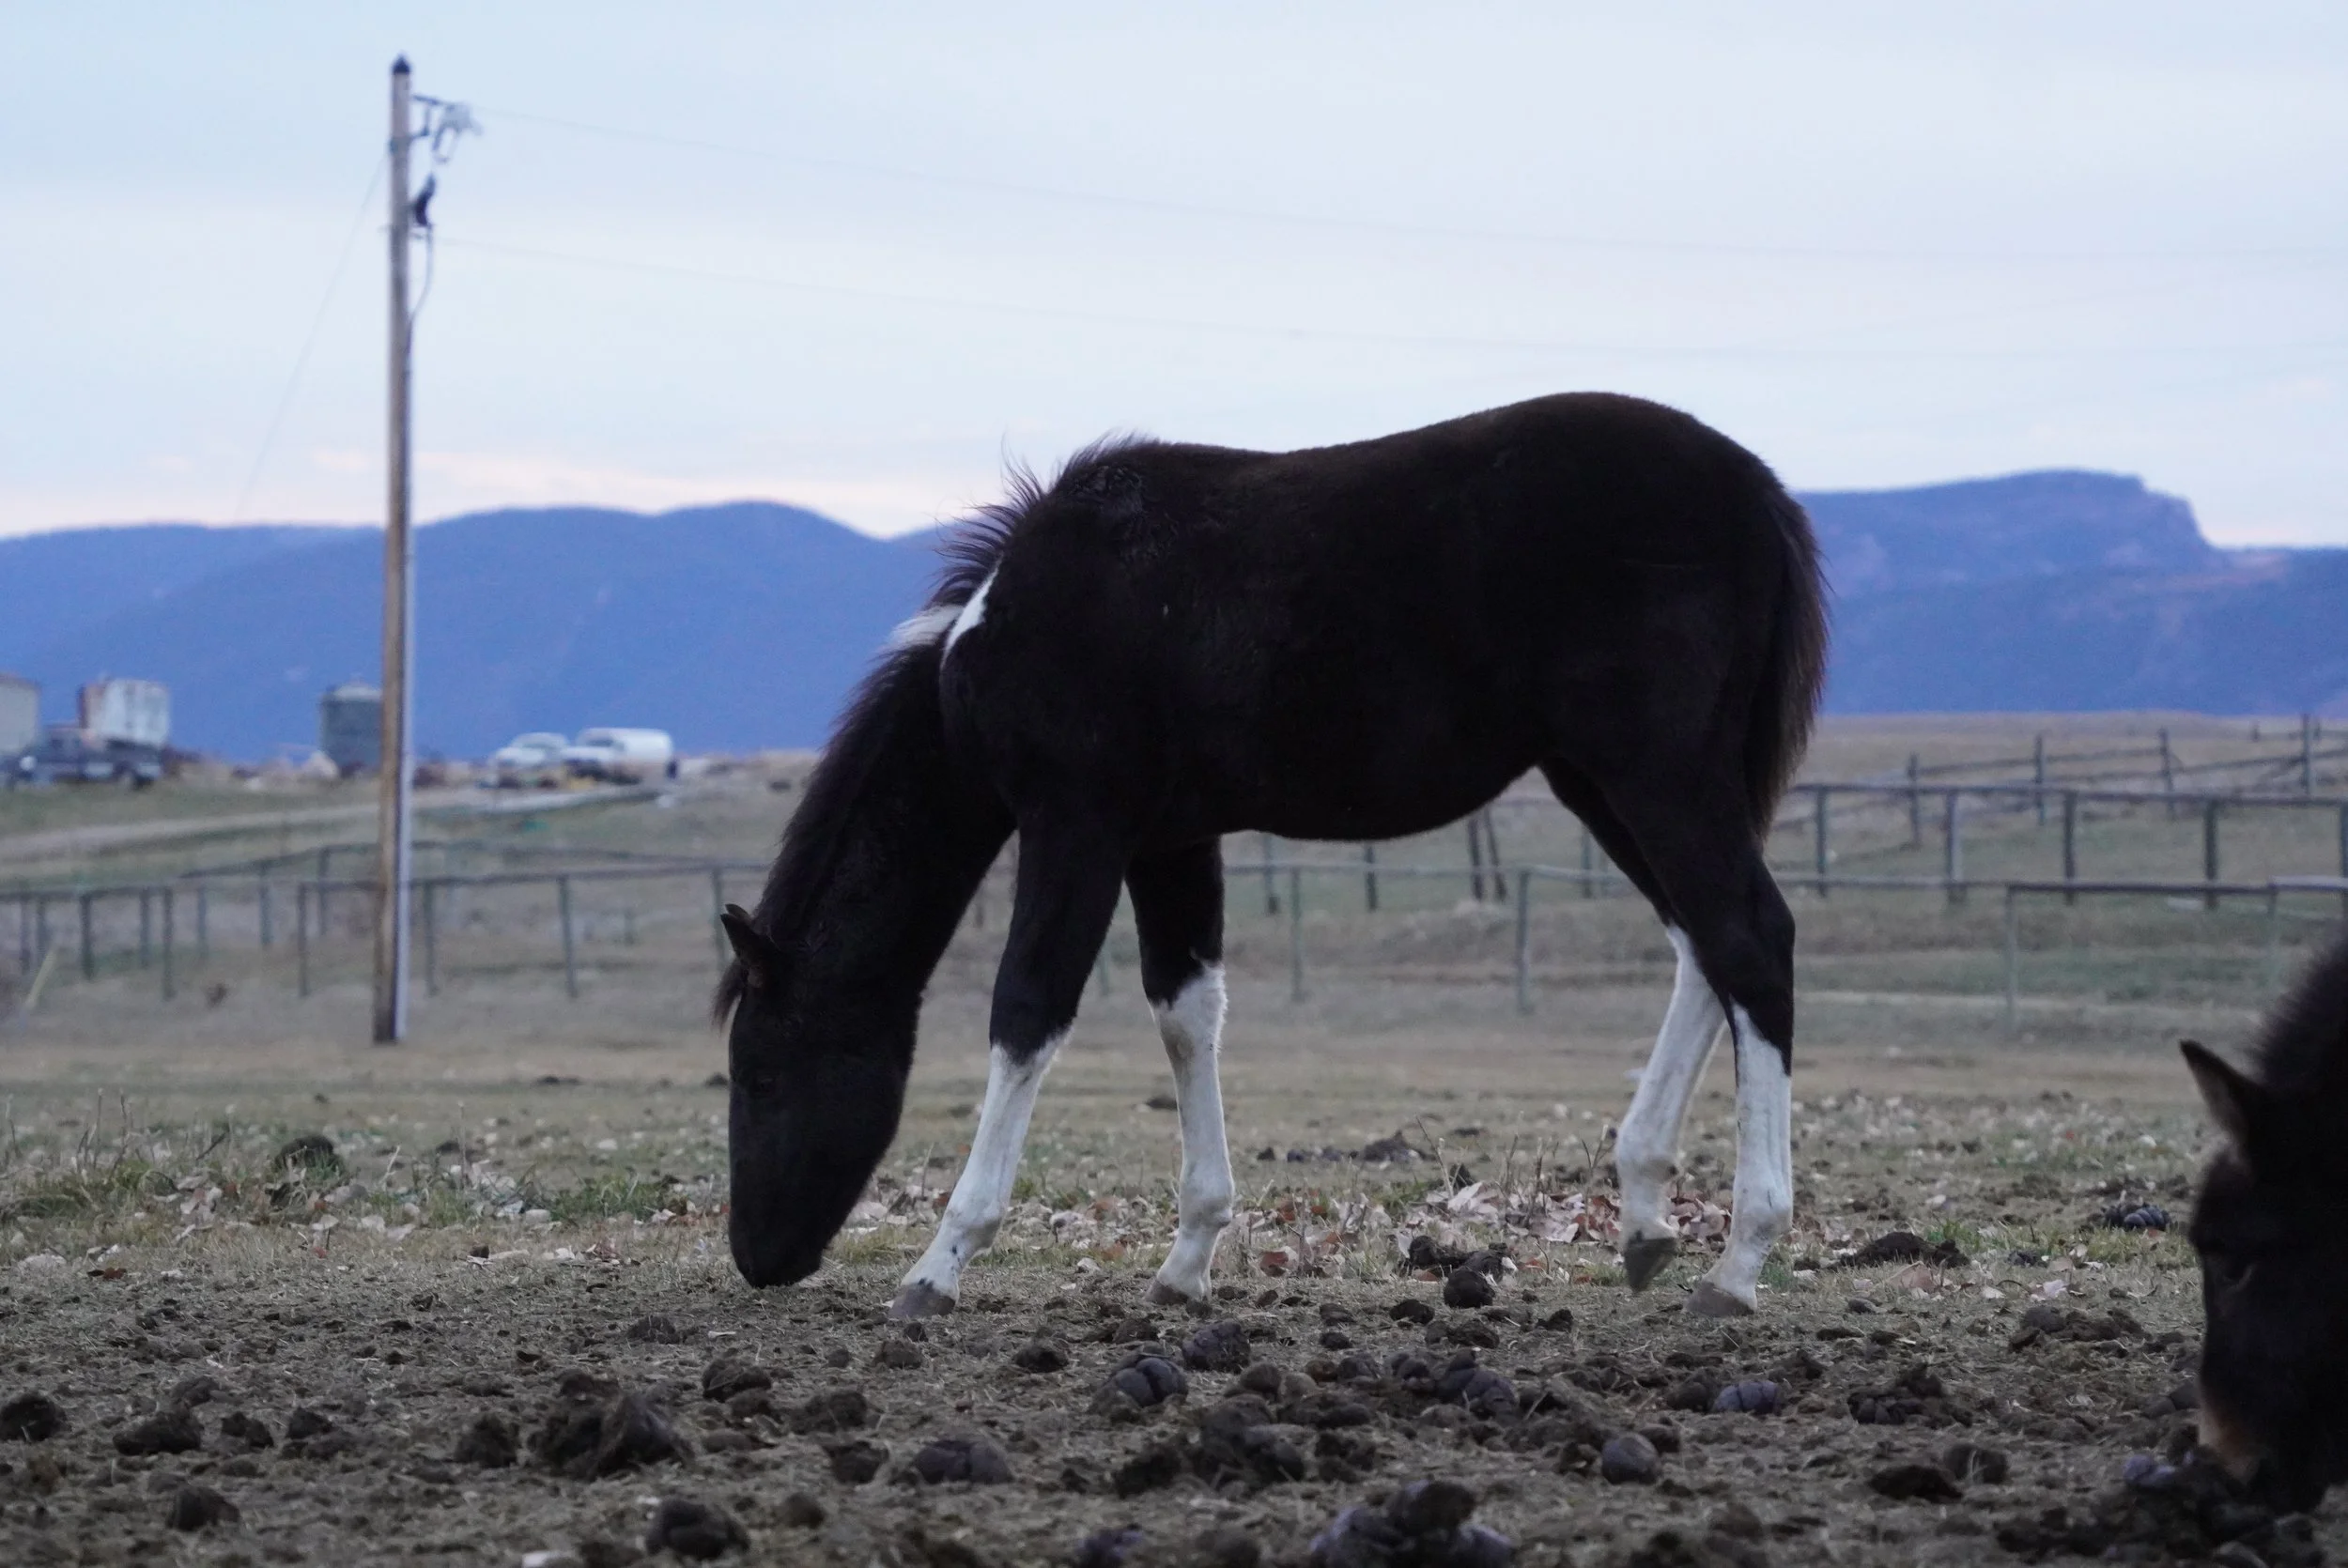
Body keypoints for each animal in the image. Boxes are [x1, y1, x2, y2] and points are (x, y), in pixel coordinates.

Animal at [714, 391, 1829, 1321]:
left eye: (759, 1074)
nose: (757, 1259)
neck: (1020, 620)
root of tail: (1756, 490)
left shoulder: (1075, 826)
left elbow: (1026, 1013)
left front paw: (940, 1263)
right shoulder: (1168, 841)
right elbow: (1185, 1014)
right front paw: (1188, 1257)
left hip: (1655, 773)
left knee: (1749, 935)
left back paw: (1739, 1261)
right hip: (1600, 782)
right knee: (1703, 950)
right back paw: (1645, 1217)